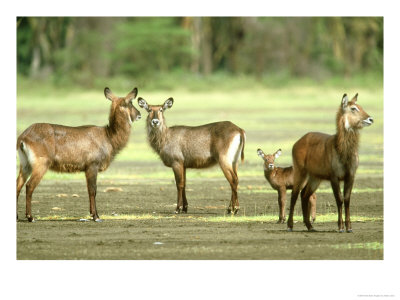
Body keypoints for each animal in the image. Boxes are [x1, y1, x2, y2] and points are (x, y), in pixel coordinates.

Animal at [16, 85, 141, 221]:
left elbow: (90, 190)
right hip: (41, 164)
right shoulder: (92, 166)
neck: (108, 136)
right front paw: (95, 216)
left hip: (25, 164)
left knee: (18, 185)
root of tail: (23, 137)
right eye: (130, 102)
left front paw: (94, 214)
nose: (139, 115)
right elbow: (93, 190)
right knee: (29, 186)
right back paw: (30, 217)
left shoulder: (87, 169)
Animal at [286, 93, 374, 232]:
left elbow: (347, 199)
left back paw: (310, 226)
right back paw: (290, 226)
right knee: (294, 194)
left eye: (361, 106)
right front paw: (341, 227)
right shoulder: (334, 177)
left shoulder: (351, 176)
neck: (343, 152)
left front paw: (349, 227)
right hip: (300, 171)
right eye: (353, 108)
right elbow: (339, 199)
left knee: (304, 194)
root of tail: (298, 141)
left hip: (315, 177)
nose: (370, 119)